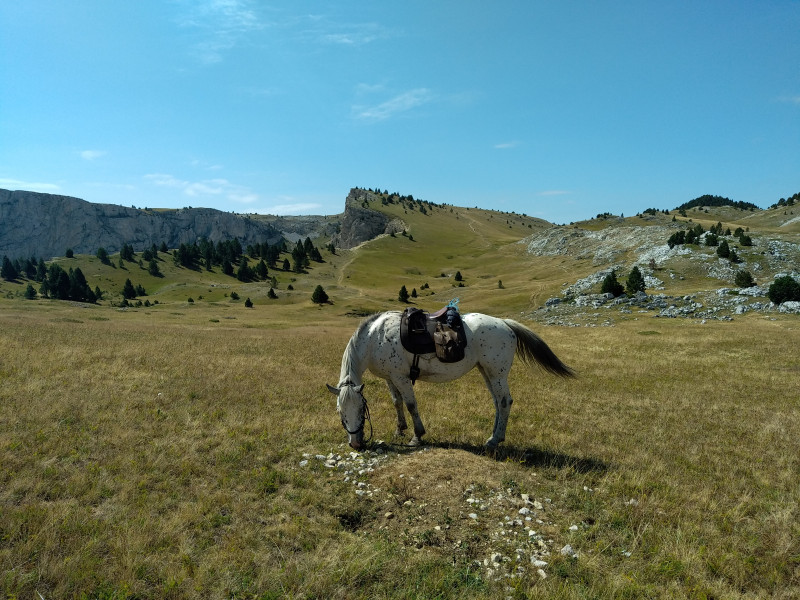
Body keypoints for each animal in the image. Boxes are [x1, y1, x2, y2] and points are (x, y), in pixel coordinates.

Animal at [326, 312, 576, 448]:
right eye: (339, 411)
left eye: (360, 411)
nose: (356, 444)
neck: (375, 337)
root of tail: (505, 323)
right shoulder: (390, 377)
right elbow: (397, 403)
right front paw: (400, 429)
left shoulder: (401, 377)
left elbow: (411, 404)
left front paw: (417, 436)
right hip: (486, 372)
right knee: (498, 402)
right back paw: (495, 436)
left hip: (497, 373)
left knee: (505, 402)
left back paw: (494, 439)